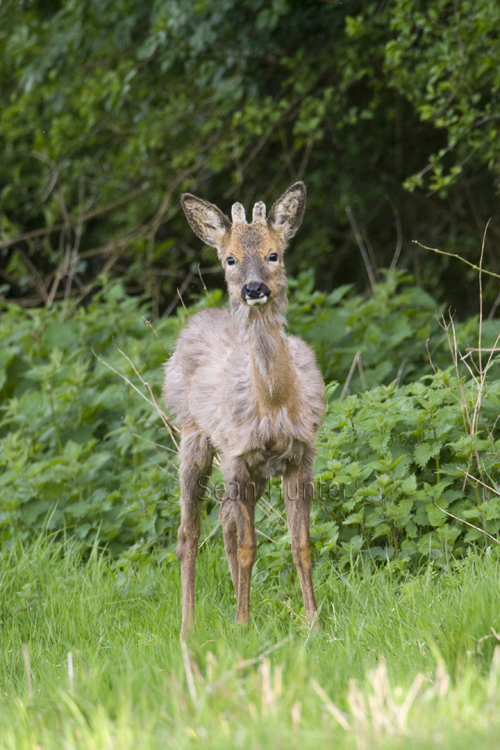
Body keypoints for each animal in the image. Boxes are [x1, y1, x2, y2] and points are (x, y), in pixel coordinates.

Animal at [163, 184, 324, 640]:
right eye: (230, 259)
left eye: (274, 253)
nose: (253, 289)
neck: (273, 404)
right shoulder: (237, 454)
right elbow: (249, 546)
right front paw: (242, 624)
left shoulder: (300, 454)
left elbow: (300, 544)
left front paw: (313, 621)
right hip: (193, 437)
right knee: (188, 533)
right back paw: (188, 627)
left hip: (254, 471)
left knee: (224, 518)